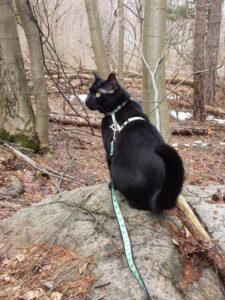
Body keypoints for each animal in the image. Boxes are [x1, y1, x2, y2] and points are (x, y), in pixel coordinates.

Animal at [85, 72, 184, 213]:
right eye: (89, 91)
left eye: (98, 94)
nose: (86, 100)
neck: (118, 108)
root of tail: (155, 196)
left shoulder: (109, 150)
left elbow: (109, 169)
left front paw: (111, 185)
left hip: (118, 169)